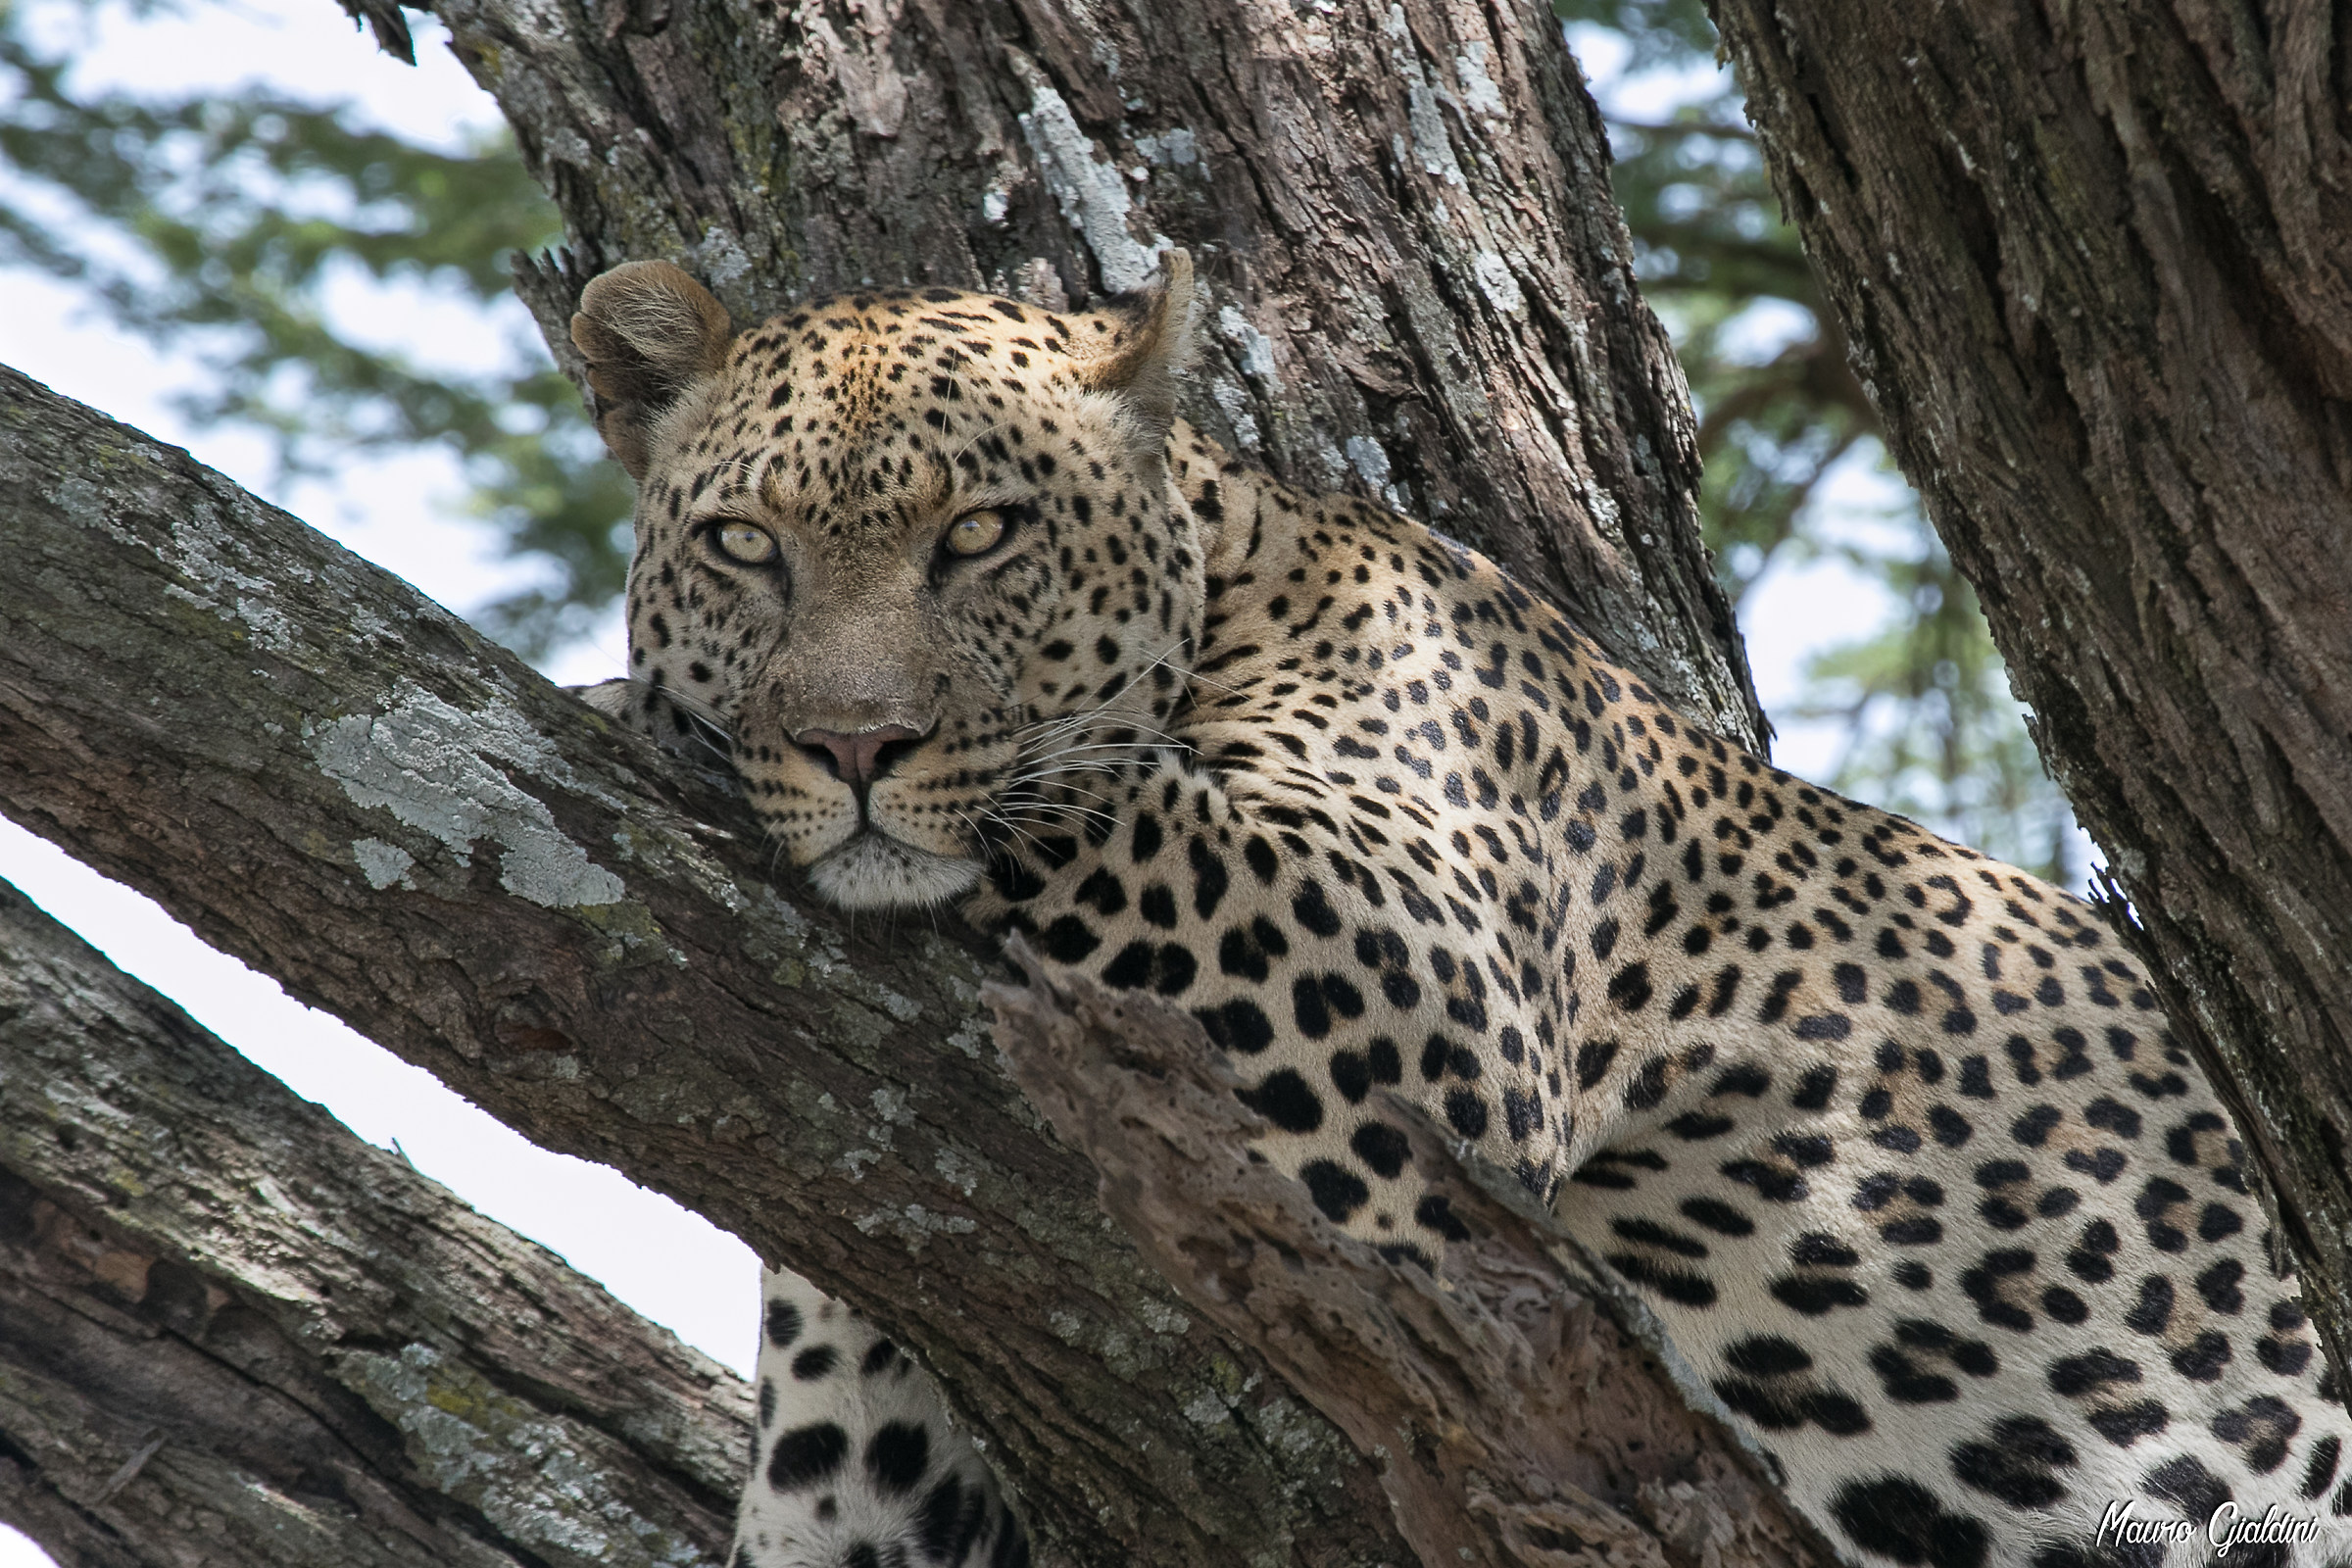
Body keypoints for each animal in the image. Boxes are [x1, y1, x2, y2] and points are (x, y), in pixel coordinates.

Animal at [568, 249, 2352, 1568]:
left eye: (983, 533)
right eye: (745, 544)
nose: (853, 745)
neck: (1237, 574)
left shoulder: (1415, 997)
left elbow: (1094, 786)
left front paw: (638, 705)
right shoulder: (872, 1469)